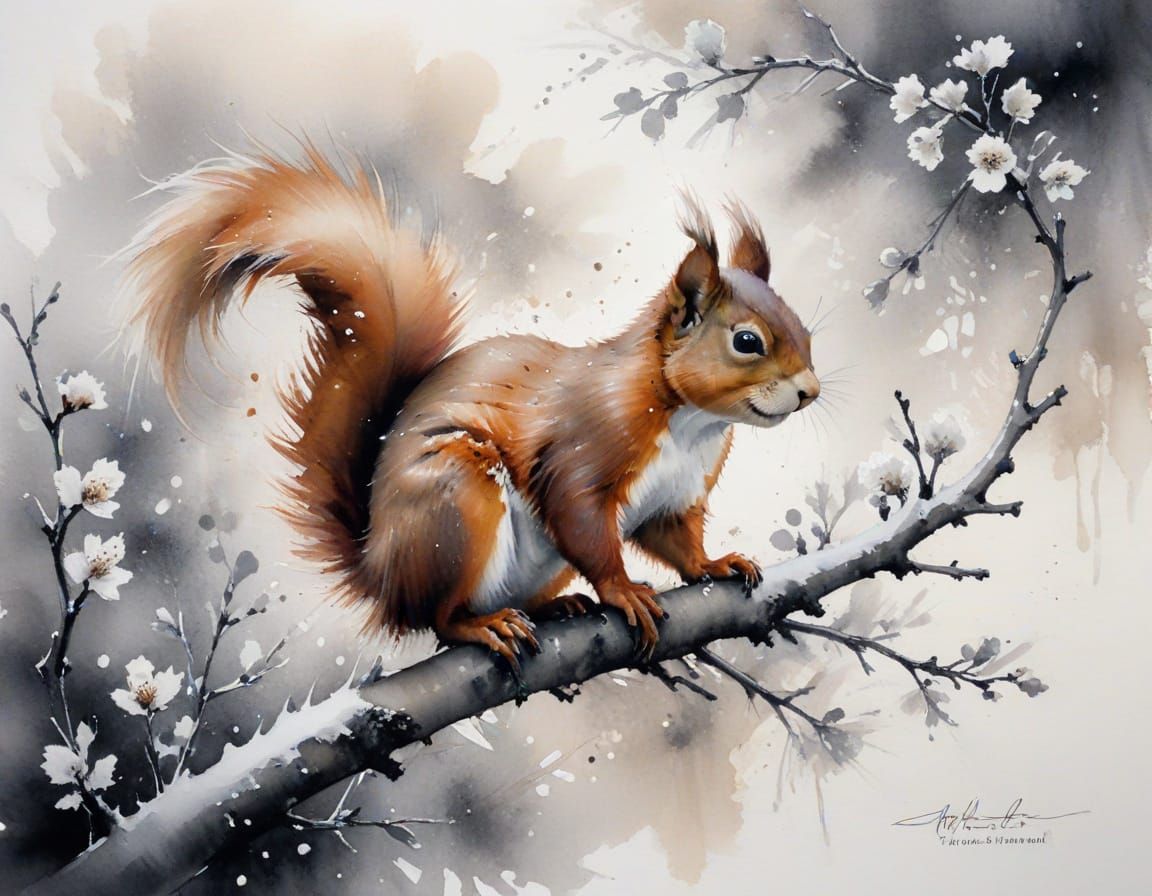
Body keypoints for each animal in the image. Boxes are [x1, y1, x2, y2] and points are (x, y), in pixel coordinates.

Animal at [123, 146, 819, 667]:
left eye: (804, 328)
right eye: (748, 342)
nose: (810, 391)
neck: (691, 423)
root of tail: (380, 572)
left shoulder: (679, 494)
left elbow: (673, 539)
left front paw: (717, 562)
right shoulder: (583, 451)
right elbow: (584, 525)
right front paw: (624, 591)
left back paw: (551, 607)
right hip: (455, 504)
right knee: (438, 619)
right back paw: (482, 627)